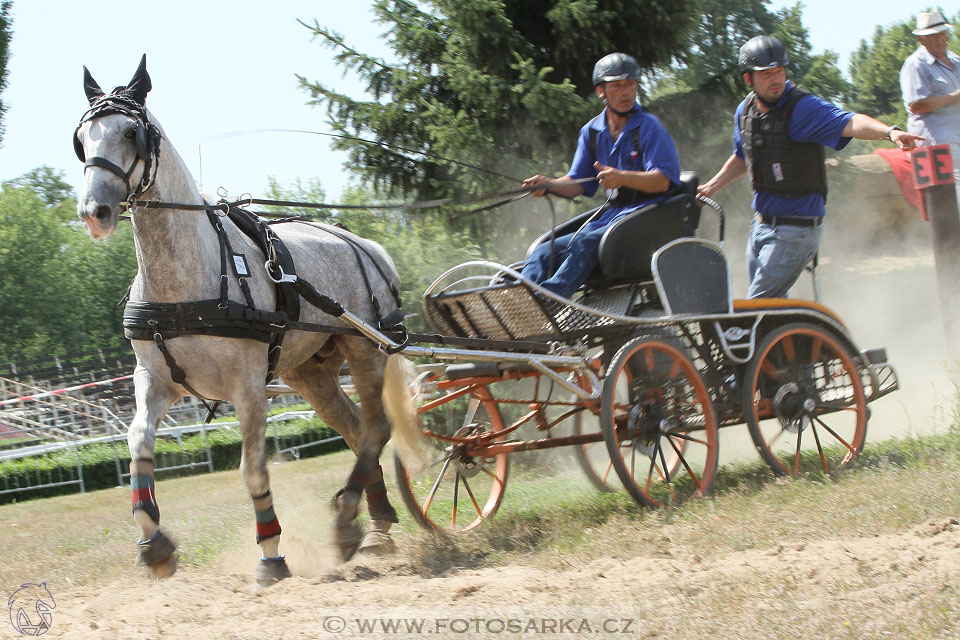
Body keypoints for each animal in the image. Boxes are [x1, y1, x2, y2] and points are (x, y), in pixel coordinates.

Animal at [75, 57, 420, 584]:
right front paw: (154, 542)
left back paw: (348, 522)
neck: (189, 280)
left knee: (376, 427)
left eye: (132, 133)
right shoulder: (154, 380)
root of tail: (367, 245)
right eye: (82, 137)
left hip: (363, 350)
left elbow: (253, 467)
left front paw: (271, 552)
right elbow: (138, 444)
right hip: (309, 372)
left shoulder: (249, 386)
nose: (95, 211)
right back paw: (373, 524)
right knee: (356, 428)